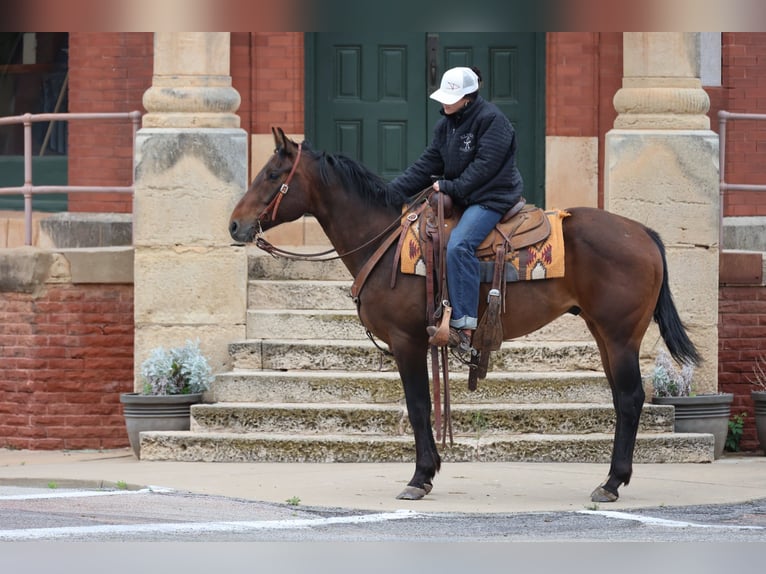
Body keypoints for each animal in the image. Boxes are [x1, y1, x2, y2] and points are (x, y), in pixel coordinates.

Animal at [229, 127, 702, 503]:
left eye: (272, 175)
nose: (235, 225)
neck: (383, 241)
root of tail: (643, 232)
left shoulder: (407, 341)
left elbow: (419, 405)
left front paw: (420, 476)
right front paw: (428, 472)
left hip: (620, 336)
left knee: (631, 398)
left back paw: (611, 483)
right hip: (604, 334)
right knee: (623, 400)